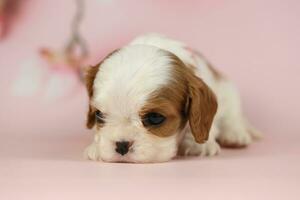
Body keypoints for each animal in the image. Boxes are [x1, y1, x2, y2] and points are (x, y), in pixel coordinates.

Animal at [82, 34, 260, 162]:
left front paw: (198, 145)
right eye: (99, 115)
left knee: (232, 116)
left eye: (155, 118)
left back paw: (234, 134)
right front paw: (96, 147)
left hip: (229, 92)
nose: (121, 145)